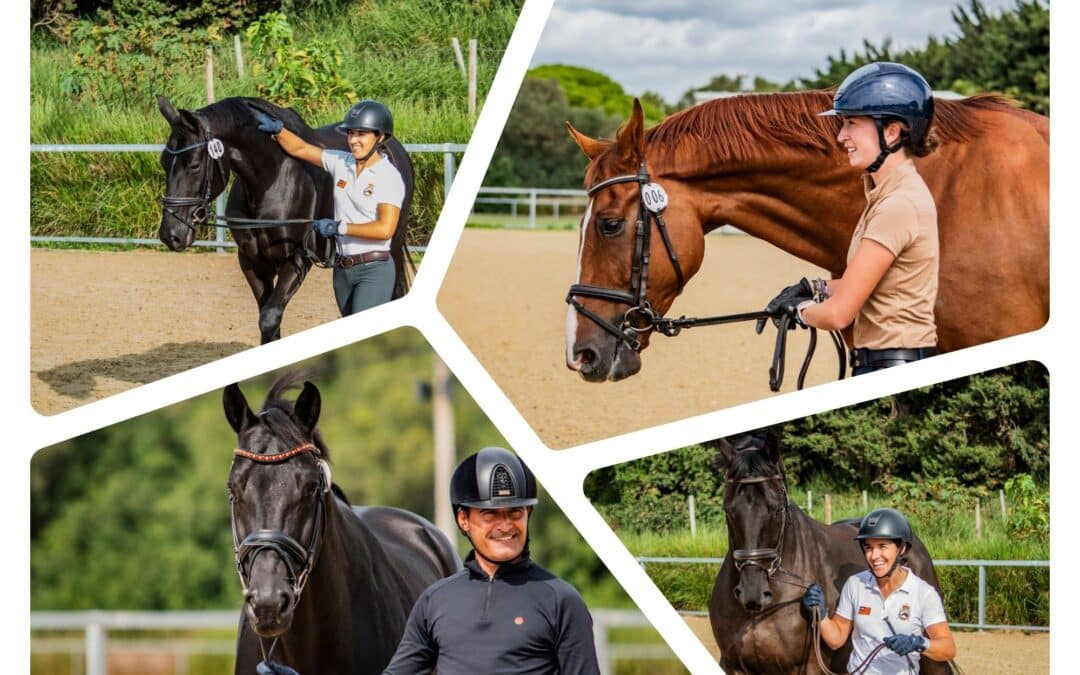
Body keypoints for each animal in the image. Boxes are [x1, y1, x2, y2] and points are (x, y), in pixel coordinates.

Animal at [157, 96, 414, 341]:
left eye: (194, 164)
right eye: (163, 162)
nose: (171, 234)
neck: (271, 180)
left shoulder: (297, 259)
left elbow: (269, 318)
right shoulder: (252, 260)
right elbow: (267, 321)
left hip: (391, 247)